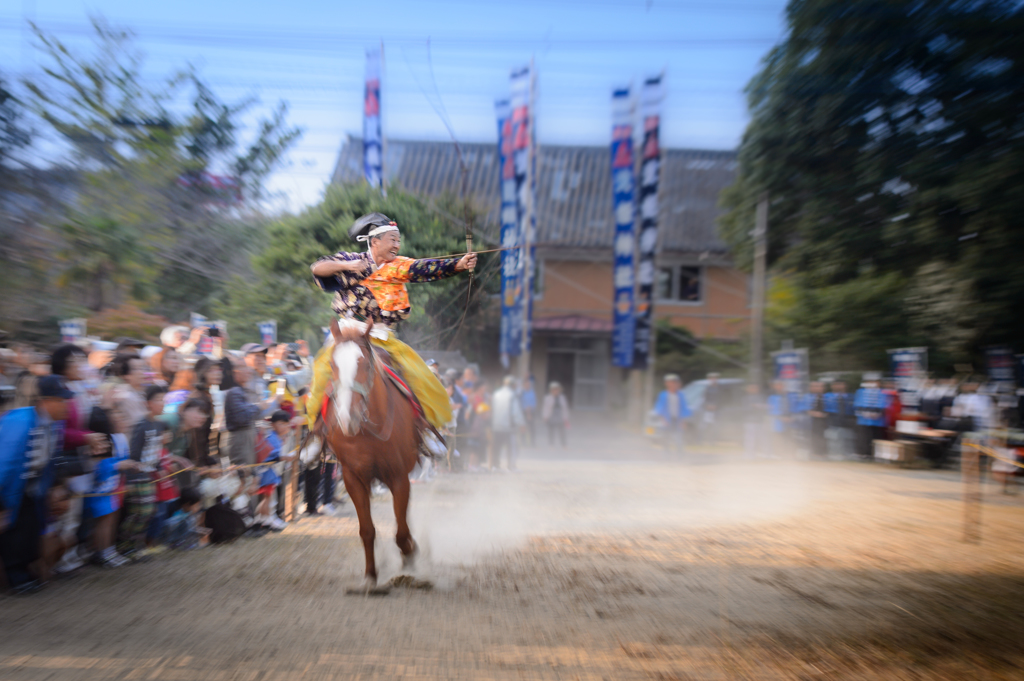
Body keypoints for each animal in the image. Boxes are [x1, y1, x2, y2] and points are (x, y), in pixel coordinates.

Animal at [317, 315, 417, 585]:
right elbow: (367, 530)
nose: (346, 418)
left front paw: (410, 556)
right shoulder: (353, 477)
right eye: (333, 364)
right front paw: (371, 574)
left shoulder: (398, 476)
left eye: (363, 364)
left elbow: (401, 531)